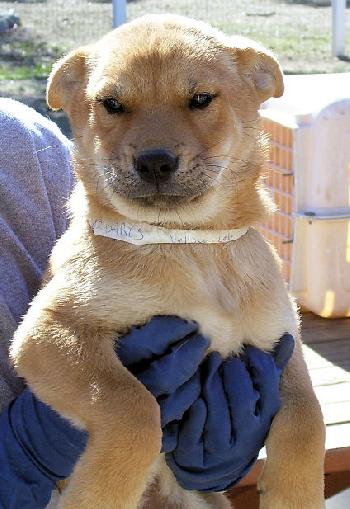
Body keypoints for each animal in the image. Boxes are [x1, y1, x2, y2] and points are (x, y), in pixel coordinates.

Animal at [10, 13, 324, 508]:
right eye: (111, 104)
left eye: (200, 100)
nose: (154, 162)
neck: (191, 245)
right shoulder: (52, 328)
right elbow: (133, 408)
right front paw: (99, 492)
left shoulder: (280, 346)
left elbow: (309, 421)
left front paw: (295, 495)